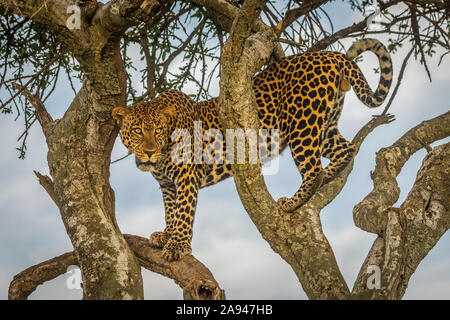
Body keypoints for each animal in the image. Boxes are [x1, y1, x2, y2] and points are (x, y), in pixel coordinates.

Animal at [113, 38, 394, 262]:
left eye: (158, 130)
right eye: (137, 130)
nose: (149, 152)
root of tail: (330, 54)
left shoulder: (185, 178)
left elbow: (183, 211)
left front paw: (177, 245)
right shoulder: (167, 184)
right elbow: (170, 210)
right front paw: (166, 235)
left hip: (302, 124)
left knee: (313, 169)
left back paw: (292, 202)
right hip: (323, 125)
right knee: (346, 148)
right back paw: (329, 176)